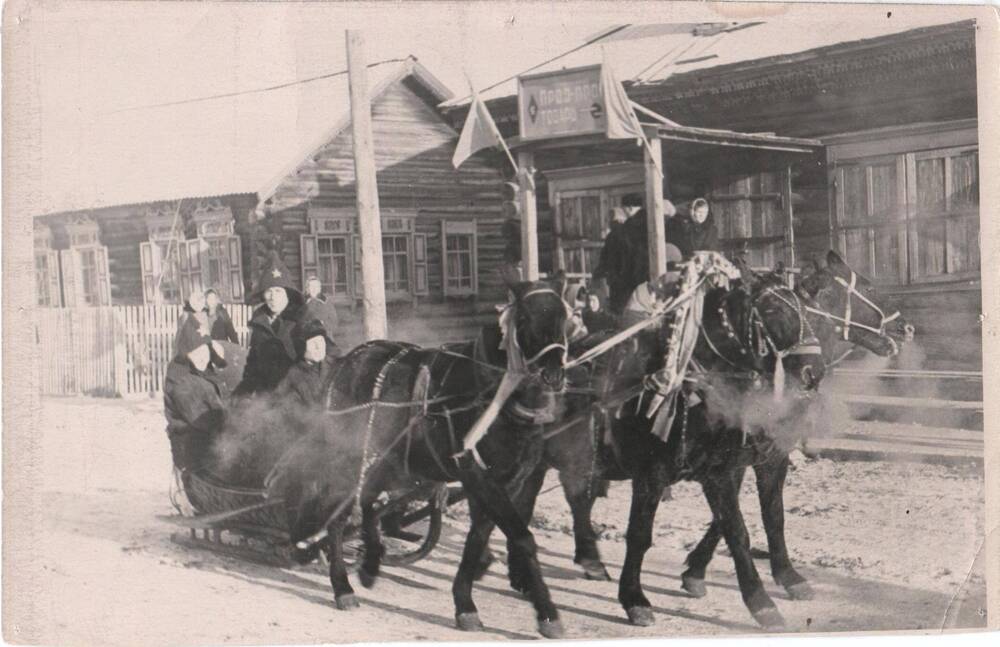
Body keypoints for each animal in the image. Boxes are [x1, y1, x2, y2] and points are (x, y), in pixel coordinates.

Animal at [270, 278, 576, 636]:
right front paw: (547, 613)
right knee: (337, 516)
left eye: (564, 317)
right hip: (348, 459)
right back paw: (342, 586)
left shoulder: (511, 479)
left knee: (368, 506)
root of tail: (346, 362)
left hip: (384, 461)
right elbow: (522, 537)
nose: (552, 374)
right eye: (526, 318)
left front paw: (466, 600)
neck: (492, 393)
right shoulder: (478, 474)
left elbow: (479, 535)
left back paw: (369, 562)